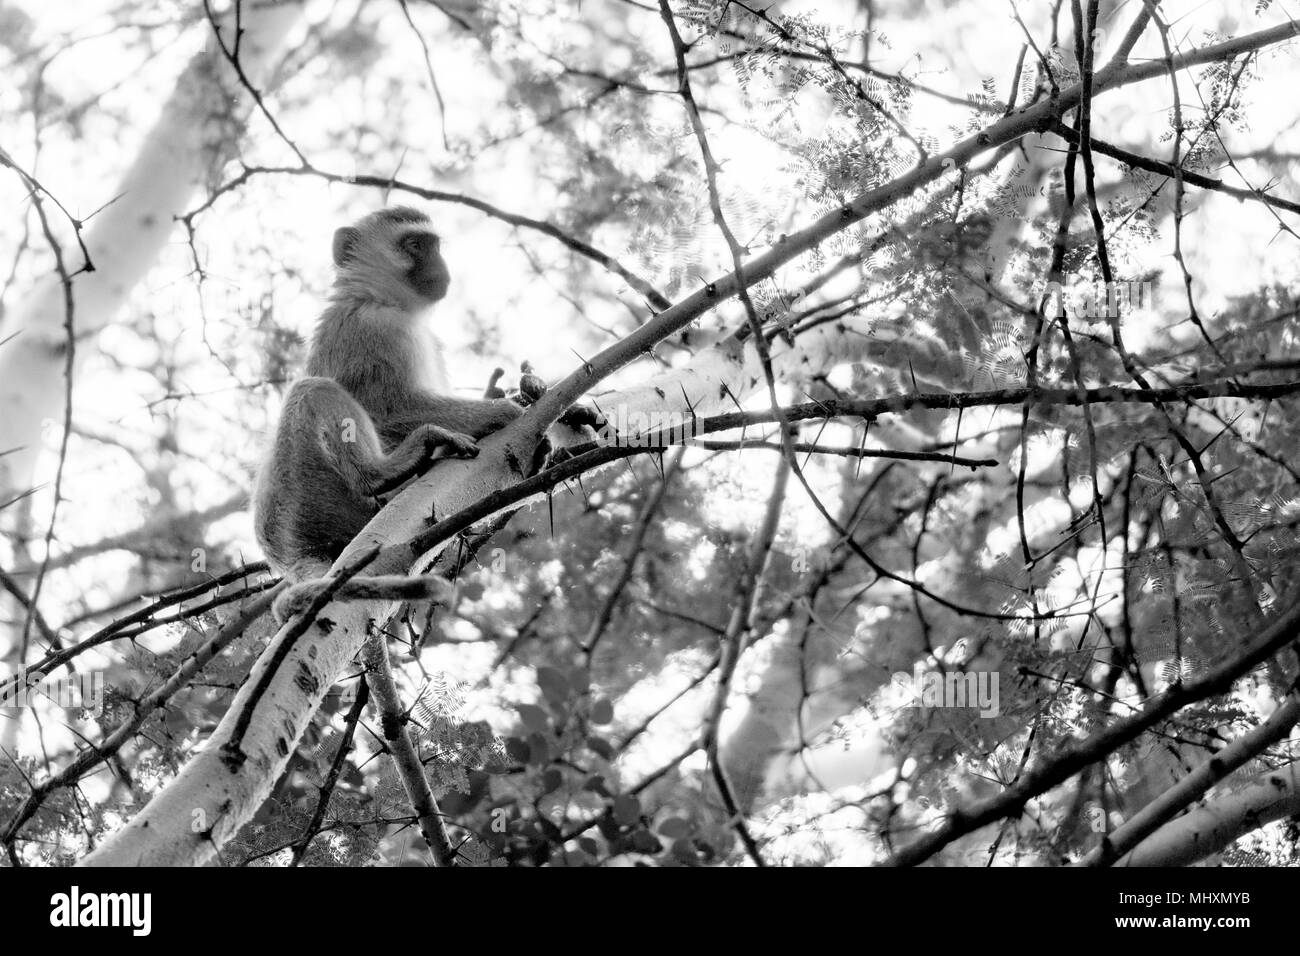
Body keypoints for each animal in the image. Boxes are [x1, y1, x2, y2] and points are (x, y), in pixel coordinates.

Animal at [254, 206, 527, 621]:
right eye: (414, 245)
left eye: (434, 245)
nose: (441, 268)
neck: (383, 300)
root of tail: (288, 551)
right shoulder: (371, 329)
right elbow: (389, 411)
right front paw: (502, 410)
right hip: (312, 494)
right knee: (313, 391)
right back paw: (382, 473)